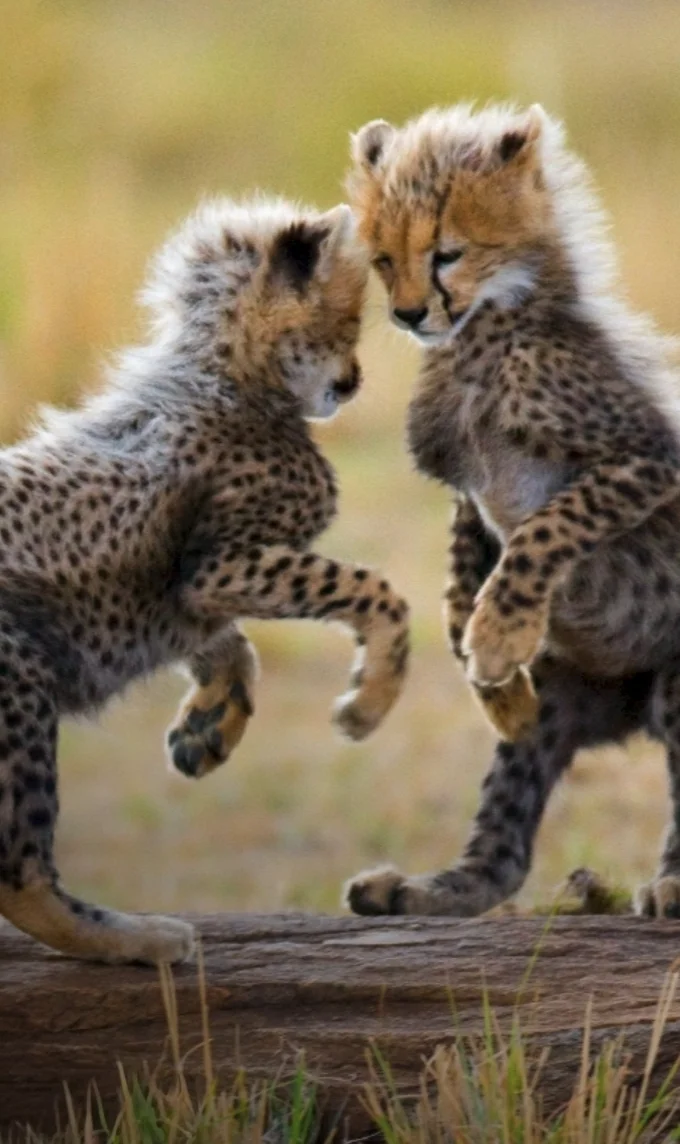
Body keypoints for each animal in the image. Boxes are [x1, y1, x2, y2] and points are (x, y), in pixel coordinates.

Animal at [0, 196, 409, 963]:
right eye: (346, 324)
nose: (353, 382)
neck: (228, 377)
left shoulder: (194, 593)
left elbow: (231, 645)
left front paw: (208, 729)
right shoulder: (219, 566)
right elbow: (377, 592)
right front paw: (368, 703)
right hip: (21, 684)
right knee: (20, 869)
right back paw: (136, 938)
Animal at [342, 100, 680, 921]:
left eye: (447, 253)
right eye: (382, 260)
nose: (407, 314)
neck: (483, 334)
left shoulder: (646, 458)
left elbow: (544, 528)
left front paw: (497, 637)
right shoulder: (467, 489)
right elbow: (465, 557)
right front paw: (477, 652)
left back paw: (673, 885)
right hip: (559, 697)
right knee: (503, 850)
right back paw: (420, 889)